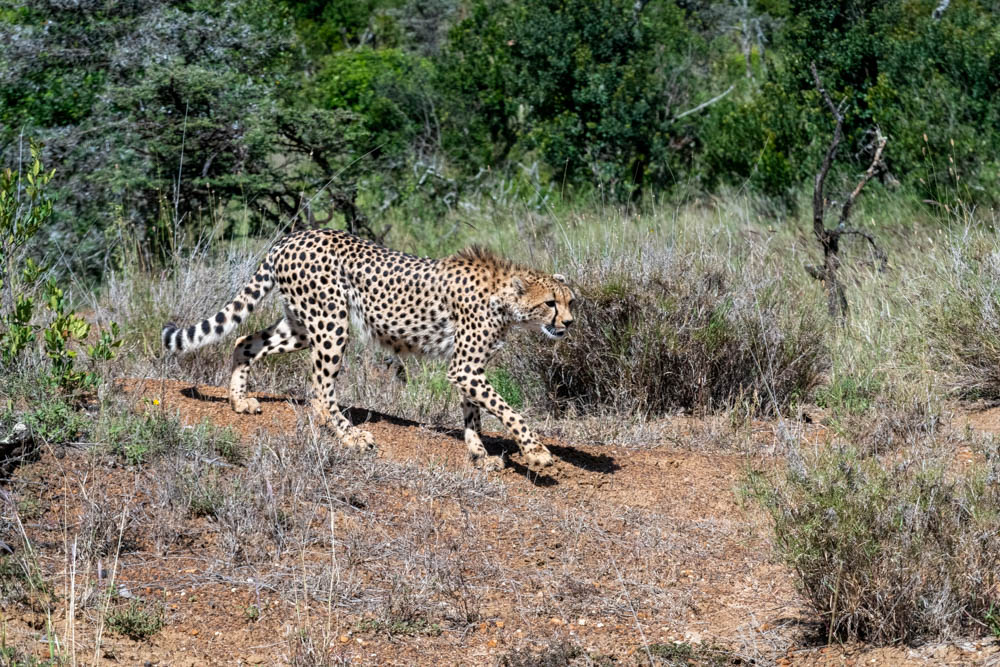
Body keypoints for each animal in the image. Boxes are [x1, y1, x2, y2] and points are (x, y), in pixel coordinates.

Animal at [161, 228, 575, 472]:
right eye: (551, 303)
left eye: (571, 301)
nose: (569, 323)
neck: (505, 299)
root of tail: (296, 234)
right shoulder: (466, 367)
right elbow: (509, 411)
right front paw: (536, 452)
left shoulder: (466, 368)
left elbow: (473, 412)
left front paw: (479, 453)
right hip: (332, 323)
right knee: (320, 390)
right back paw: (350, 436)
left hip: (301, 325)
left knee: (243, 341)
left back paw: (238, 400)